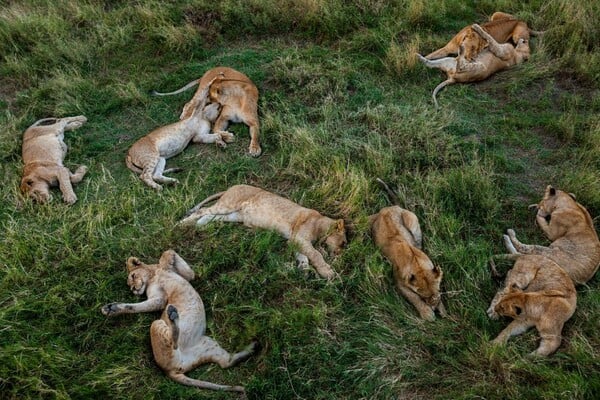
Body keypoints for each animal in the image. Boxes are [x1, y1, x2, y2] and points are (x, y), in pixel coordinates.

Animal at [100, 252, 258, 392]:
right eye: (130, 284)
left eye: (133, 276)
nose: (133, 289)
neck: (154, 275)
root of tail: (169, 371)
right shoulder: (160, 298)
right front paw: (112, 308)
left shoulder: (178, 281)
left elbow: (174, 261)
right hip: (157, 324)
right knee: (173, 340)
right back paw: (172, 316)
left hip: (209, 345)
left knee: (225, 362)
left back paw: (253, 347)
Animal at [177, 184, 346, 280]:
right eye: (343, 243)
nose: (339, 254)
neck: (321, 222)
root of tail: (232, 186)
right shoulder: (300, 238)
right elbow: (315, 254)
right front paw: (328, 272)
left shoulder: (295, 240)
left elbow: (303, 255)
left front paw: (304, 270)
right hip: (228, 204)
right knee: (203, 211)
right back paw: (181, 224)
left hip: (234, 215)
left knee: (211, 216)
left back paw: (200, 225)